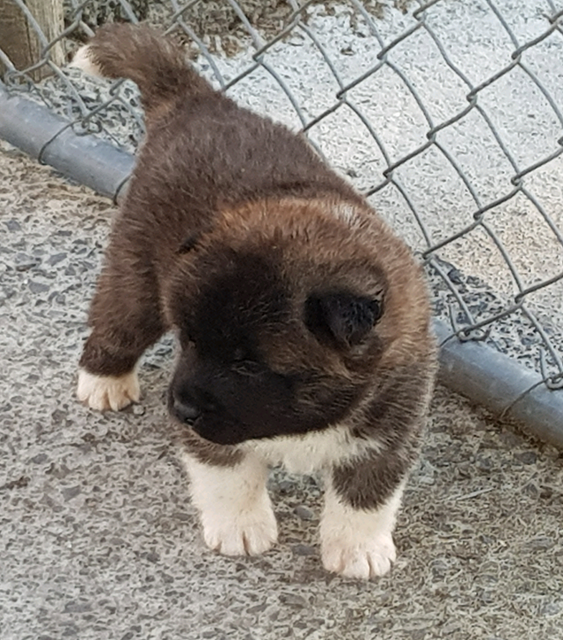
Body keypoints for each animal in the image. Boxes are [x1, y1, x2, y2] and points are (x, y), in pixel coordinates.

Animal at [73, 24, 437, 580]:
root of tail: (199, 100)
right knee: (117, 319)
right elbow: (228, 474)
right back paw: (104, 380)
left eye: (248, 364)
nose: (178, 408)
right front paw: (240, 528)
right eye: (190, 342)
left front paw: (358, 549)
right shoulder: (212, 431)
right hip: (138, 271)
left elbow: (367, 495)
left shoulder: (391, 427)